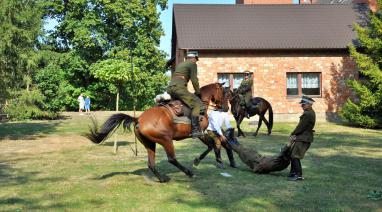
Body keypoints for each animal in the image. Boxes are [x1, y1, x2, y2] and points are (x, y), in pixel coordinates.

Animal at [87, 82, 228, 182]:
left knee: (151, 164)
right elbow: (212, 144)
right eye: (226, 94)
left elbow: (211, 145)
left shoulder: (201, 134)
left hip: (150, 143)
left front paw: (205, 160)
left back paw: (162, 179)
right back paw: (188, 173)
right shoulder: (200, 133)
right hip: (166, 140)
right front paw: (206, 160)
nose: (226, 108)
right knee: (171, 159)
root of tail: (138, 119)